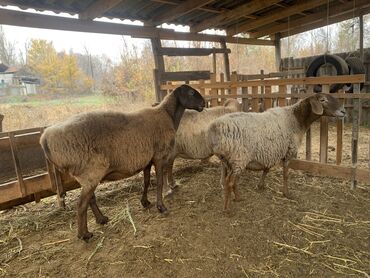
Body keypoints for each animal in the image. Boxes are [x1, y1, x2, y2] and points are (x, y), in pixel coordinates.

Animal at [208, 93, 346, 208]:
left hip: (229, 159)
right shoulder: (289, 152)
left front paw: (261, 185)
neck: (296, 119)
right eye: (323, 100)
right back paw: (228, 209)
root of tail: (214, 127)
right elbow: (285, 174)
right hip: (239, 157)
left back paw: (238, 198)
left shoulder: (271, 151)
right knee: (230, 182)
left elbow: (267, 169)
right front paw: (286, 193)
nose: (344, 111)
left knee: (229, 180)